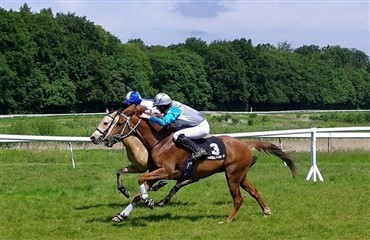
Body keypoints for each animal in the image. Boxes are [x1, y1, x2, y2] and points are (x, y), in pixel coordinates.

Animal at [104, 105, 298, 223]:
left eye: (119, 123)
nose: (105, 139)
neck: (160, 141)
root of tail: (245, 144)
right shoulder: (155, 171)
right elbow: (138, 191)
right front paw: (121, 214)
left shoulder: (166, 171)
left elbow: (141, 180)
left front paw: (148, 200)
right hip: (240, 175)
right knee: (254, 191)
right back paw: (266, 210)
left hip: (232, 175)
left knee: (238, 199)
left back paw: (227, 220)